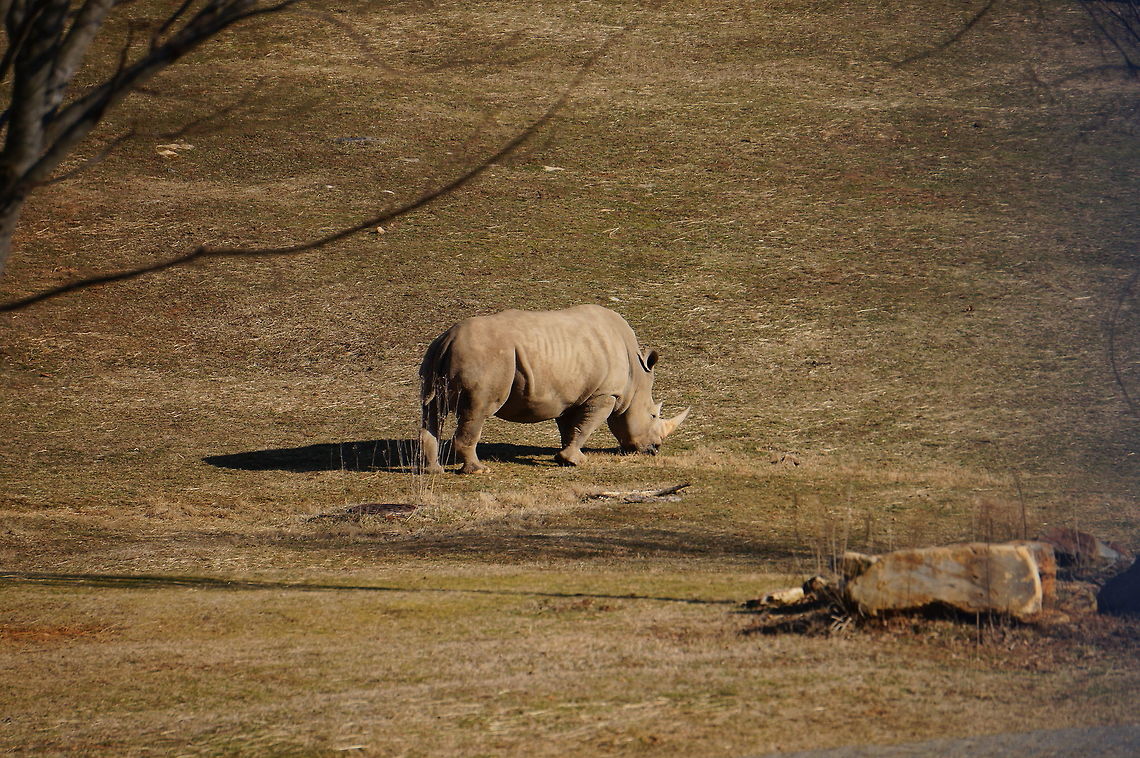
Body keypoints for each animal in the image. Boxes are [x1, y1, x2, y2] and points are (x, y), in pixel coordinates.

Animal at [418, 305, 689, 474]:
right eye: (652, 415)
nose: (654, 449)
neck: (636, 378)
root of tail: (448, 340)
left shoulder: (570, 395)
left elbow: (571, 428)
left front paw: (566, 458)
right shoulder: (604, 394)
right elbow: (586, 426)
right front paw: (576, 461)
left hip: (432, 355)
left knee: (432, 411)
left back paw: (434, 470)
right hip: (484, 359)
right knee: (477, 410)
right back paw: (479, 470)